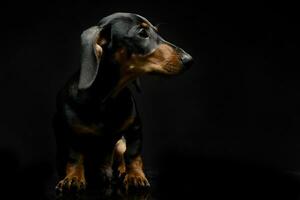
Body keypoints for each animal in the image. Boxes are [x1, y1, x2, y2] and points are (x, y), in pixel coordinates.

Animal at [54, 12, 193, 192]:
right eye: (142, 33)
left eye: (157, 31)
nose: (189, 60)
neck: (106, 100)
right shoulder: (71, 134)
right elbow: (75, 156)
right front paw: (73, 177)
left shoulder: (135, 129)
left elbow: (133, 155)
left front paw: (135, 176)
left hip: (120, 142)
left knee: (121, 154)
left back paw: (121, 169)